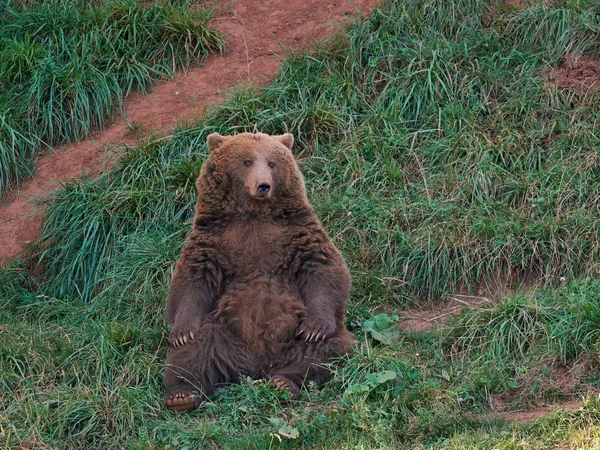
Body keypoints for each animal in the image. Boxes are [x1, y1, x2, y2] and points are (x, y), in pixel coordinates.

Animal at [162, 131, 354, 412]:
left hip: (295, 339)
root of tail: (256, 367)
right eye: (247, 161)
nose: (263, 186)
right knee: (194, 349)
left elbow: (322, 267)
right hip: (222, 330)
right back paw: (182, 395)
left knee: (328, 350)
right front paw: (182, 332)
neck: (252, 214)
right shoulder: (214, 237)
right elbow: (193, 278)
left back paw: (284, 382)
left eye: (272, 163)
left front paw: (315, 327)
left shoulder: (296, 230)